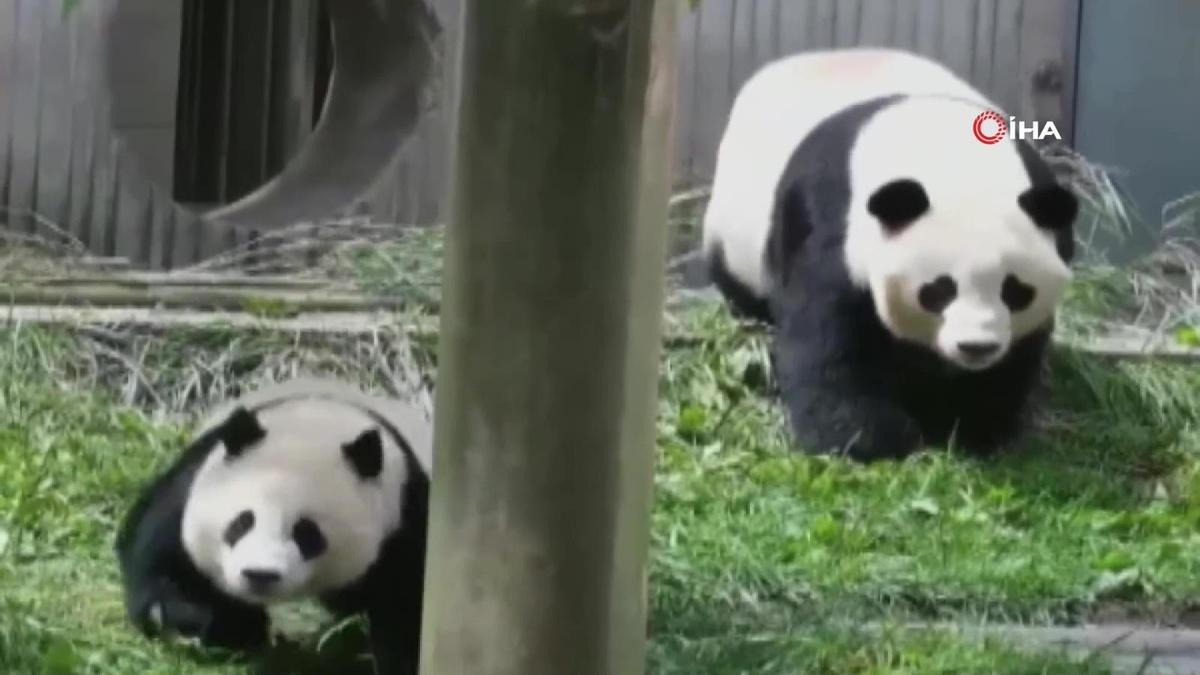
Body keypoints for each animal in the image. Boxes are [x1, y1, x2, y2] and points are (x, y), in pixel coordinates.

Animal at [115, 376, 432, 675]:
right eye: (242, 521)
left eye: (307, 533)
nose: (260, 575)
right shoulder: (191, 482)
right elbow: (162, 562)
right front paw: (229, 626)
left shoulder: (403, 523)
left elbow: (407, 611)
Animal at [700, 47, 1079, 462]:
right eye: (939, 290)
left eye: (1014, 290)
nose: (976, 347)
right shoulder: (830, 217)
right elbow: (828, 340)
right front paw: (864, 439)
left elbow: (1014, 358)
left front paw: (971, 427)